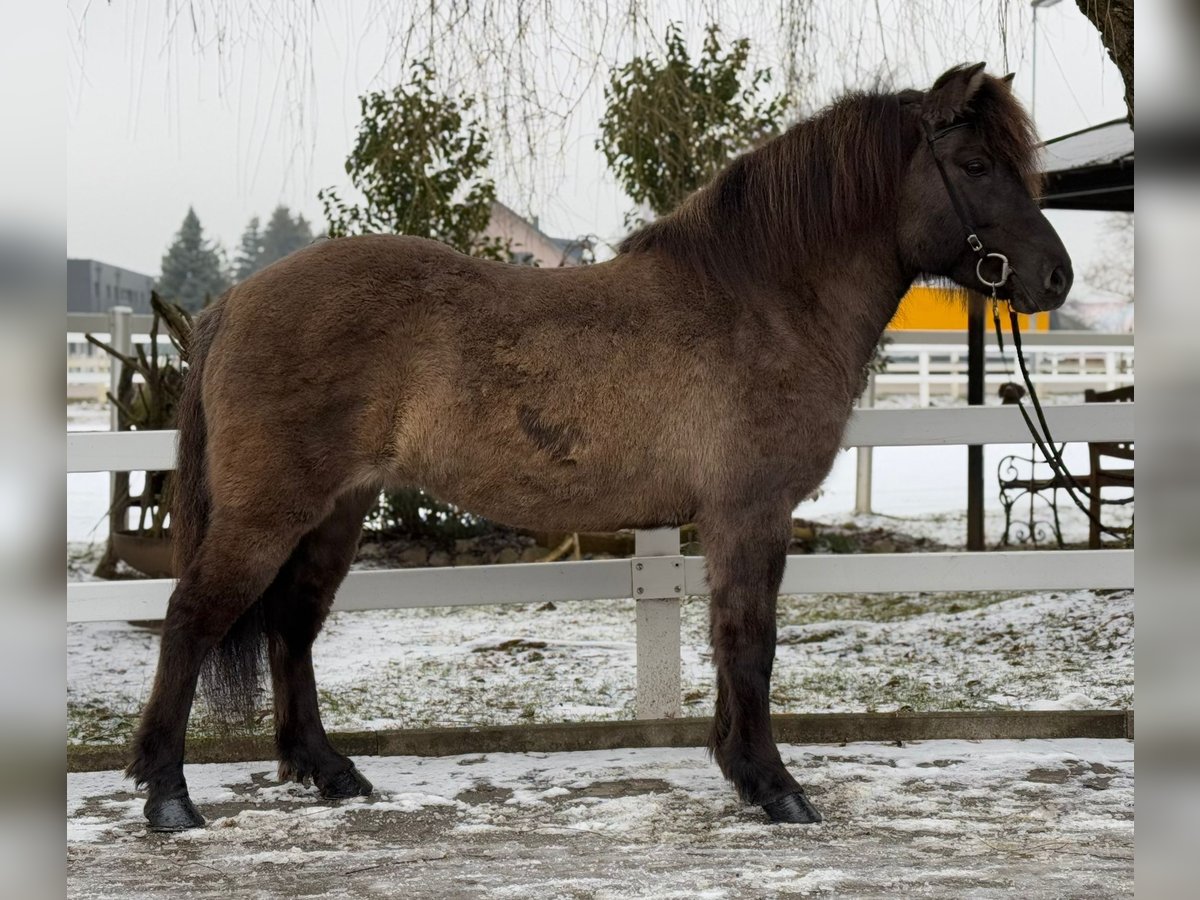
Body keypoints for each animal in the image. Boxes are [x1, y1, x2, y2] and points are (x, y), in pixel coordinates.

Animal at [129, 60, 1070, 830]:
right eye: (976, 167)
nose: (1055, 277)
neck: (760, 301)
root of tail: (232, 303)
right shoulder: (751, 514)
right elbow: (750, 641)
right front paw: (775, 787)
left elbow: (731, 642)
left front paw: (741, 771)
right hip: (270, 511)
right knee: (193, 618)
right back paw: (169, 796)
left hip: (336, 510)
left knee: (292, 626)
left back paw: (329, 774)